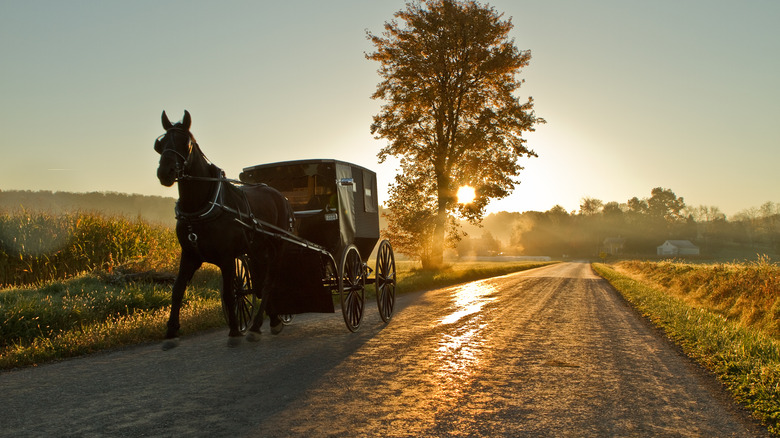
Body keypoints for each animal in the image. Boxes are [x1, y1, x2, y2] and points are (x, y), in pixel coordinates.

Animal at [152, 109, 292, 350]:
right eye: (160, 144)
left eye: (186, 143)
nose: (165, 172)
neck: (201, 207)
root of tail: (279, 195)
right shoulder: (189, 255)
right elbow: (177, 290)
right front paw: (171, 332)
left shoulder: (227, 257)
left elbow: (228, 293)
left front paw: (234, 331)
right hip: (258, 251)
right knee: (260, 283)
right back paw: (272, 320)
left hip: (278, 246)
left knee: (269, 283)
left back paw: (257, 327)